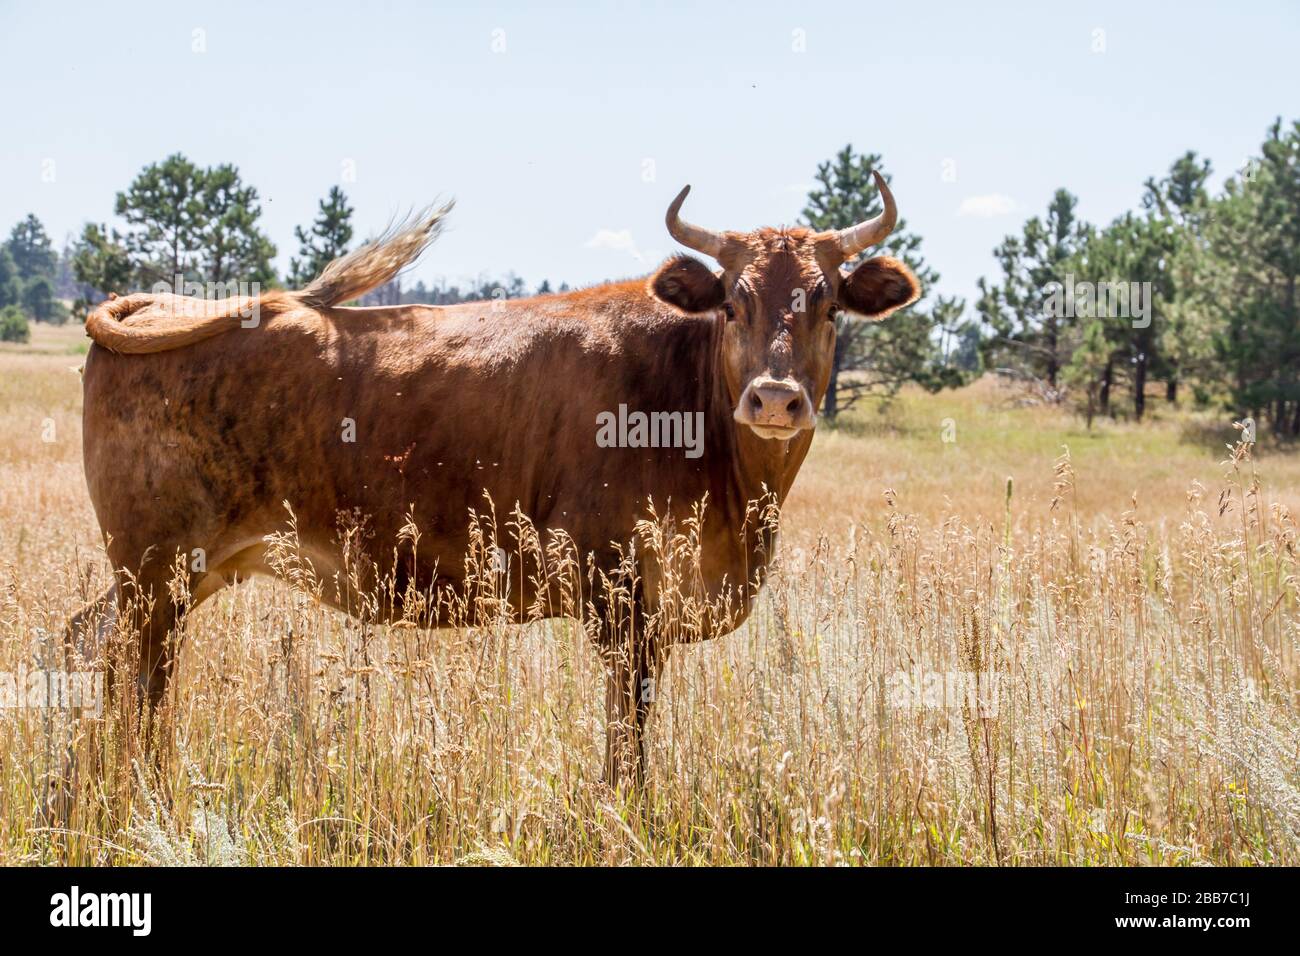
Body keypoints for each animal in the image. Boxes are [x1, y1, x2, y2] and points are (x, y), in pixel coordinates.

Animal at [71, 175, 920, 790]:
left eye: (830, 306)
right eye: (736, 303)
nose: (775, 399)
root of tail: (156, 304)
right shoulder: (621, 598)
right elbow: (628, 735)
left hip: (181, 574)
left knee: (99, 648)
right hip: (154, 569)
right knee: (135, 674)